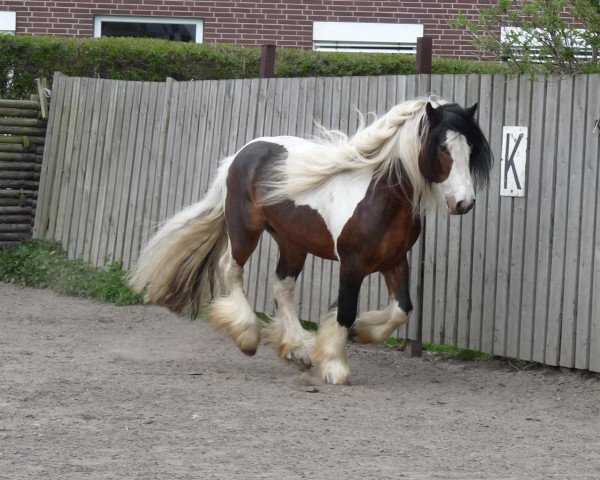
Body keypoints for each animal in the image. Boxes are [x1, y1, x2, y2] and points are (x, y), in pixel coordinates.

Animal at [131, 97, 492, 386]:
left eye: (471, 149)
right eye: (443, 148)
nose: (464, 202)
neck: (378, 197)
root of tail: (241, 154)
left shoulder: (394, 261)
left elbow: (402, 309)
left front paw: (362, 332)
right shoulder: (352, 265)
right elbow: (345, 312)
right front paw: (334, 365)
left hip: (293, 243)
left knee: (282, 287)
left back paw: (296, 350)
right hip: (245, 231)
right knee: (230, 269)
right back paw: (248, 336)